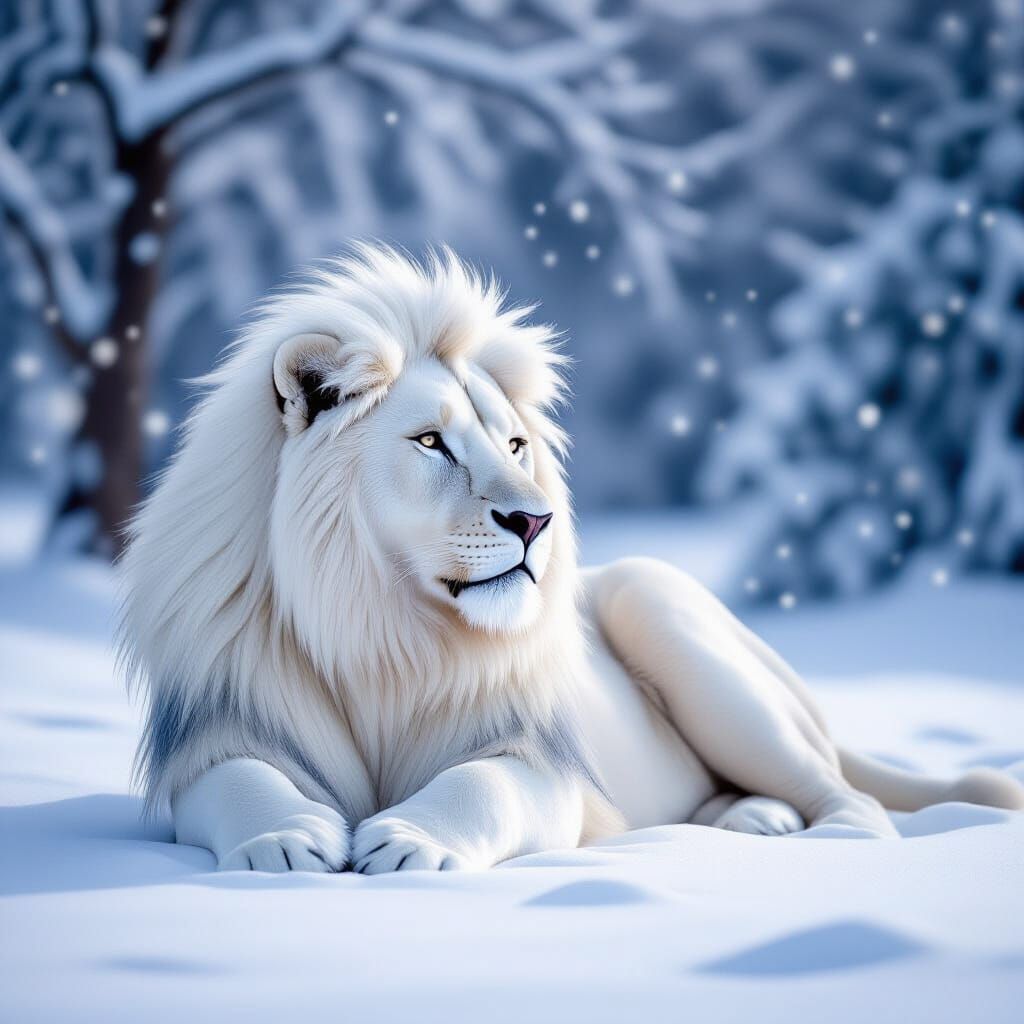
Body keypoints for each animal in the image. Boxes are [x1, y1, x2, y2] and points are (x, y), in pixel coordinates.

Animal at [120, 244, 1024, 873]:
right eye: (429, 442)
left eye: (515, 444)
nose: (535, 520)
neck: (379, 626)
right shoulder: (220, 732)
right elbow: (237, 781)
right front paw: (287, 841)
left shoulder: (547, 770)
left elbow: (480, 785)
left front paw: (407, 840)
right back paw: (748, 818)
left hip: (673, 623)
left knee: (854, 799)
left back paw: (803, 843)